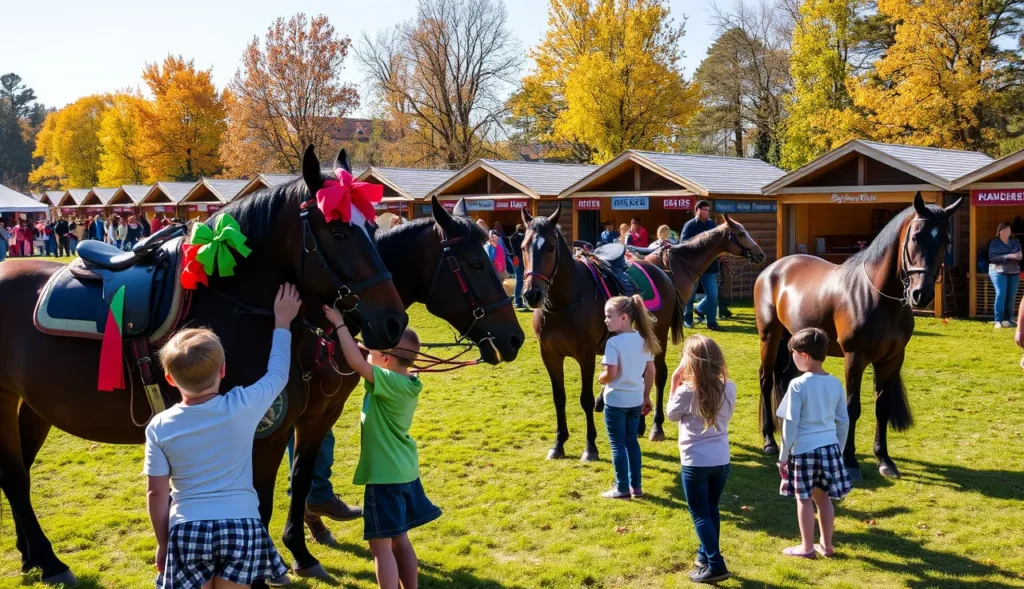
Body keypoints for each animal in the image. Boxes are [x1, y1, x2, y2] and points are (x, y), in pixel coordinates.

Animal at [0, 146, 407, 585]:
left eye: (373, 225)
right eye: (339, 232)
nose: (394, 322)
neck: (232, 304)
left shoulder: (283, 429)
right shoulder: (260, 435)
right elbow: (258, 510)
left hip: (35, 407)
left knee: (19, 475)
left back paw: (30, 556)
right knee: (14, 477)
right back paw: (50, 561)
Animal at [280, 198, 524, 581]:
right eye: (475, 263)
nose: (516, 338)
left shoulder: (321, 409)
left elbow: (302, 472)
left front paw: (310, 525)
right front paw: (297, 544)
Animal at [520, 206, 679, 460]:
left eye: (551, 247)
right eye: (523, 247)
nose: (531, 294)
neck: (566, 302)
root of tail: (662, 273)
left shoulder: (585, 355)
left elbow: (585, 399)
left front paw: (590, 447)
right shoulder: (550, 356)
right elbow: (559, 397)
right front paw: (558, 443)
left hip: (659, 339)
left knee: (660, 375)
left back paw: (656, 427)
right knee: (643, 376)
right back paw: (639, 426)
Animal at [753, 193, 958, 479]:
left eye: (946, 241)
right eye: (916, 236)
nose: (922, 294)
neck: (880, 298)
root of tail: (773, 268)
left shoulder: (892, 359)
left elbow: (882, 407)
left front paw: (884, 459)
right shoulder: (855, 358)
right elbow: (852, 408)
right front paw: (849, 459)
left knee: (785, 380)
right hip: (769, 336)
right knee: (766, 380)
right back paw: (769, 441)